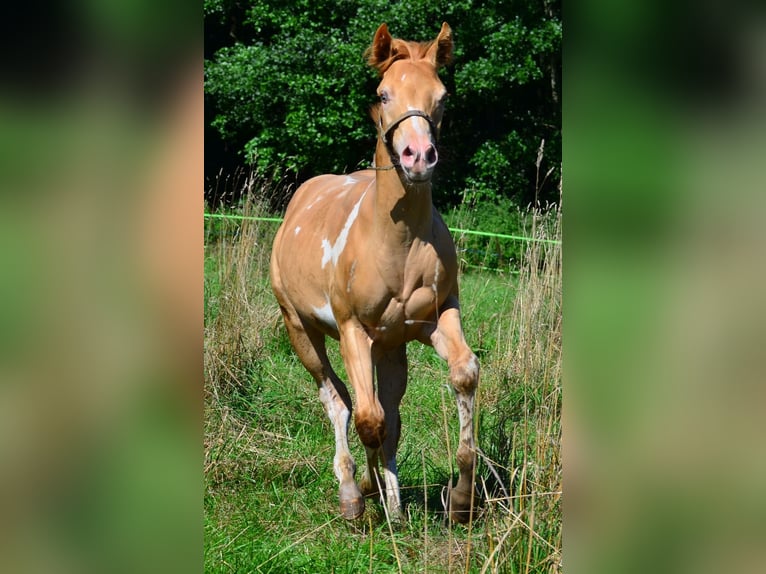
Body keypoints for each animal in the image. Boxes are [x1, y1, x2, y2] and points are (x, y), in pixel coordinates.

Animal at [270, 22, 479, 523]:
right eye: (384, 94)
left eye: (442, 96)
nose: (418, 157)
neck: (397, 243)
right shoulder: (352, 331)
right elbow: (367, 419)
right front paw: (367, 494)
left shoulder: (435, 319)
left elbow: (463, 375)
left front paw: (460, 500)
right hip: (300, 330)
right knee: (337, 400)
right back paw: (352, 491)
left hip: (390, 347)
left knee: (389, 415)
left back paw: (395, 503)